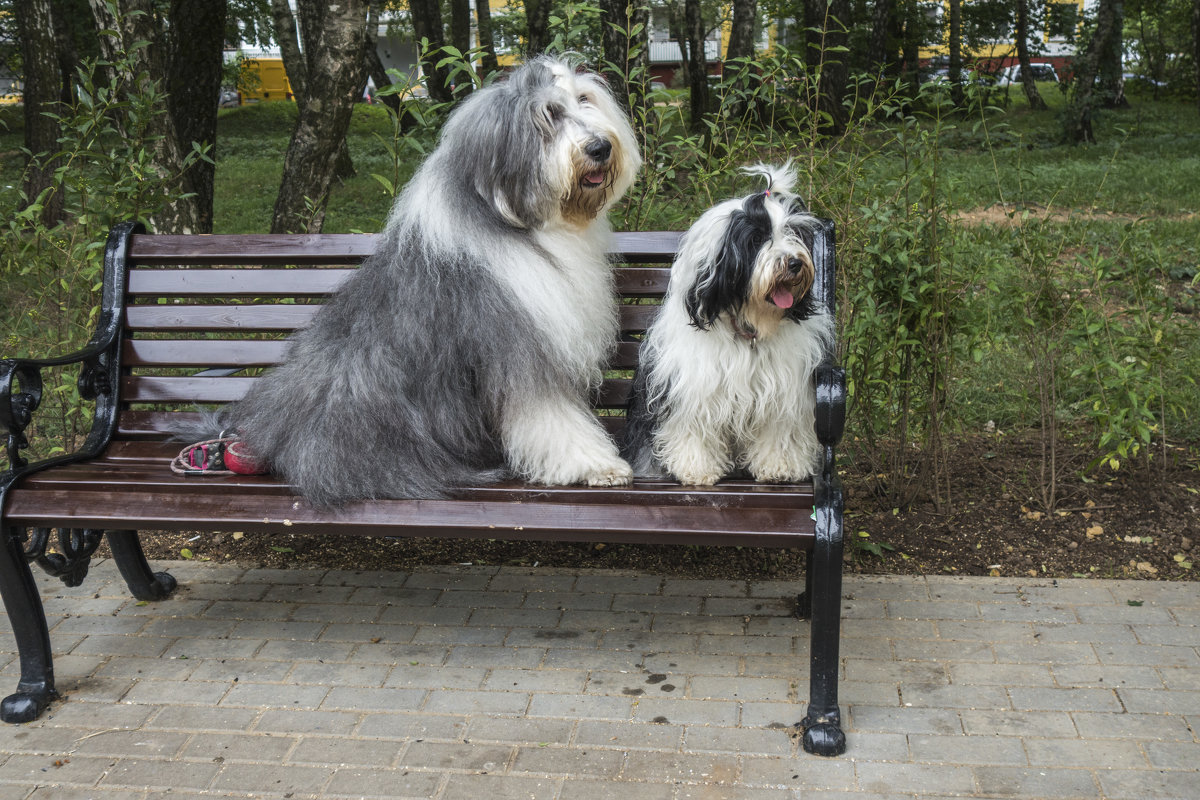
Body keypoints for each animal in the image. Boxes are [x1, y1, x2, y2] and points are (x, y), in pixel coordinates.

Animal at [204, 57, 648, 506]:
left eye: (584, 99)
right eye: (548, 116)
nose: (600, 148)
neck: (518, 222)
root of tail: (275, 438)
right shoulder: (518, 349)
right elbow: (552, 414)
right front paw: (595, 465)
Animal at [628, 165, 835, 484]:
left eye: (794, 233)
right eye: (757, 238)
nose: (794, 263)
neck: (750, 331)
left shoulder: (784, 391)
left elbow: (778, 429)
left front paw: (780, 467)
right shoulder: (695, 387)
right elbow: (694, 428)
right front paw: (697, 469)